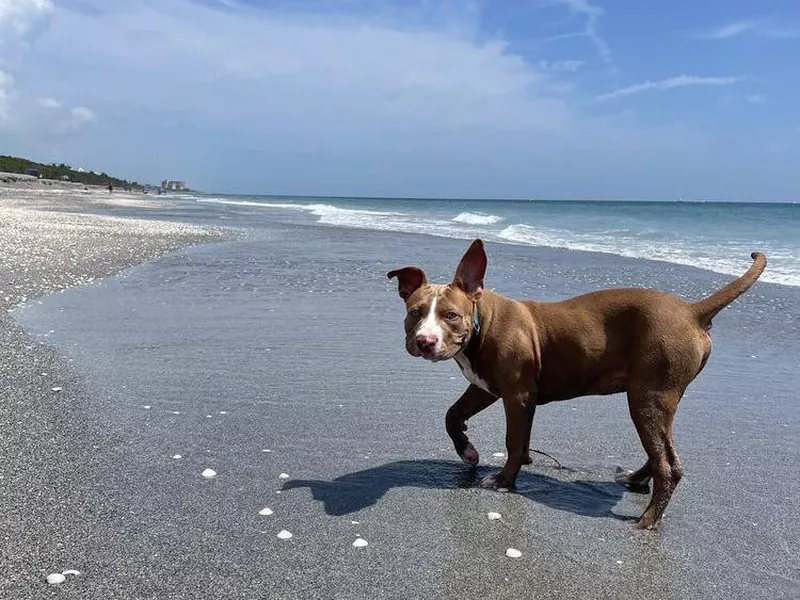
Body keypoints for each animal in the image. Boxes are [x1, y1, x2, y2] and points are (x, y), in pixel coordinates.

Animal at [390, 240, 764, 528]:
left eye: (451, 316)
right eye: (414, 312)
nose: (424, 342)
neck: (483, 321)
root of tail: (691, 310)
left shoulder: (516, 394)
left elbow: (512, 440)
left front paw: (505, 480)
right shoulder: (486, 387)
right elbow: (454, 415)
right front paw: (468, 451)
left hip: (648, 397)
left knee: (668, 464)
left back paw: (647, 520)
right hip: (657, 397)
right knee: (663, 450)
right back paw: (635, 479)